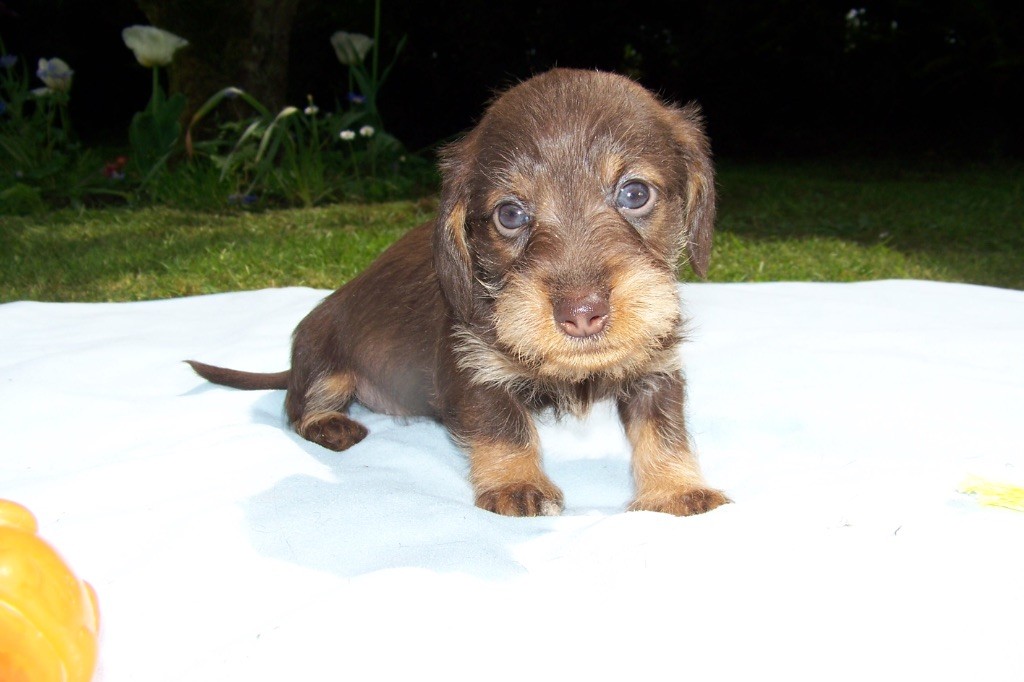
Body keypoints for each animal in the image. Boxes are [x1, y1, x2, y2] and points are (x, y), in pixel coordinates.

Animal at [188, 68, 729, 517]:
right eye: (510, 214)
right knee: (297, 406)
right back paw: (329, 423)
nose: (582, 314)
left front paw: (676, 488)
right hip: (325, 359)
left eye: (635, 193)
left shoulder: (656, 368)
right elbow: (505, 427)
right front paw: (517, 484)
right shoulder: (473, 370)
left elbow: (665, 431)